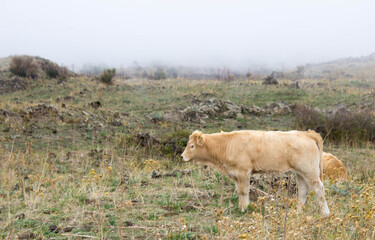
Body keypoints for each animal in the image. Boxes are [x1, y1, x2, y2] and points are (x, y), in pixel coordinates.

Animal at [183, 130, 332, 217]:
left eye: (192, 146)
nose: (182, 156)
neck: (227, 145)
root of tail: (306, 133)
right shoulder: (236, 174)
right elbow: (239, 191)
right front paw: (241, 207)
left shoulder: (243, 172)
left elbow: (244, 191)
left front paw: (244, 209)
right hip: (301, 173)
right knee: (303, 191)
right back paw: (298, 212)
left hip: (310, 171)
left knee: (319, 188)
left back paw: (325, 213)